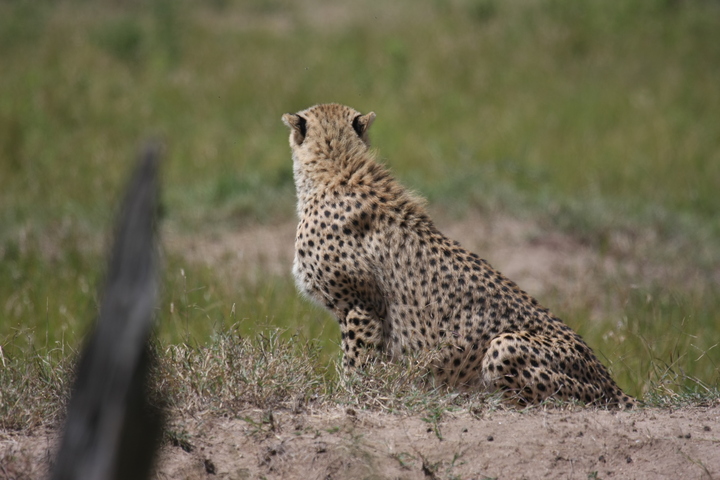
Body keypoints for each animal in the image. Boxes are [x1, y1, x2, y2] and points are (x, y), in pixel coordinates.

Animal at [282, 103, 635, 409]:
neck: (336, 167)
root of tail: (611, 383)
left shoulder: (360, 306)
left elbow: (355, 364)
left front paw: (347, 398)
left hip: (505, 346)